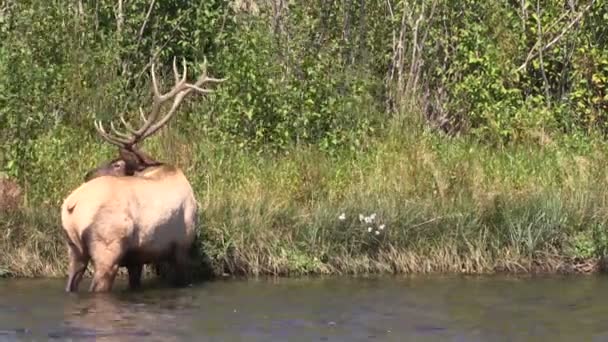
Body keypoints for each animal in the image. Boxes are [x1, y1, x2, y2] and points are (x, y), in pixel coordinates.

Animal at [60, 56, 223, 292]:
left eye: (117, 163)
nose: (87, 174)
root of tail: (72, 207)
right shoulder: (181, 246)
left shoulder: (136, 259)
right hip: (107, 248)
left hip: (74, 250)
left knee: (71, 283)